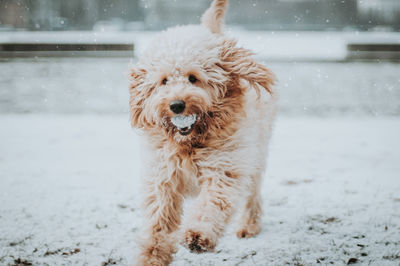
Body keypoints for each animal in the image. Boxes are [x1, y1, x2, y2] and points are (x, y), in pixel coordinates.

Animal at [130, 1, 276, 264]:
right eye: (163, 81)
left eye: (193, 78)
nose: (176, 105)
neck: (190, 143)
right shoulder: (163, 176)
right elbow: (159, 220)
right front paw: (151, 256)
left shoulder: (224, 167)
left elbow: (212, 204)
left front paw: (198, 235)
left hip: (256, 154)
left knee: (252, 194)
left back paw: (249, 225)